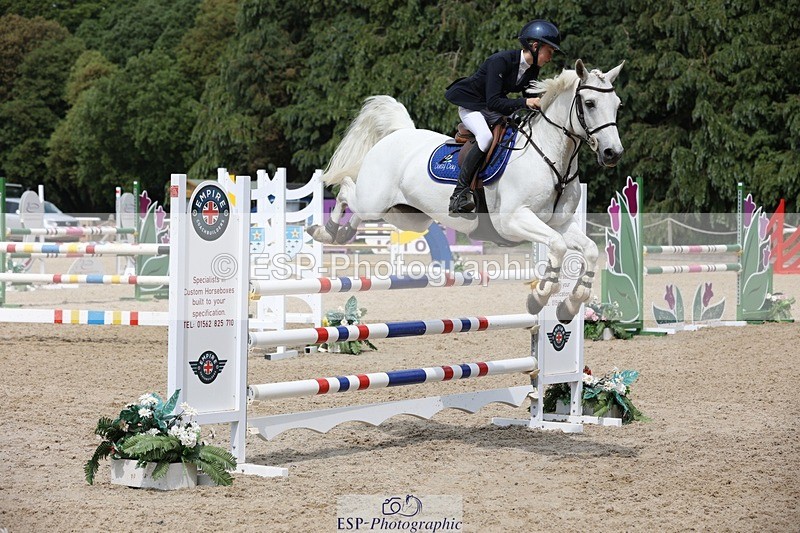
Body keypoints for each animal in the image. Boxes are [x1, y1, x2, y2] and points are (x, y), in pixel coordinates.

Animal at [308, 59, 625, 322]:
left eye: (617, 105)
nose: (613, 153)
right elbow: (557, 246)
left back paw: (342, 233)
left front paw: (570, 305)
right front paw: (540, 297)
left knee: (360, 210)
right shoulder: (514, 220)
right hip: (374, 200)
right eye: (590, 103)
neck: (551, 156)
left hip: (406, 215)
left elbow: (589, 251)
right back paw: (327, 231)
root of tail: (400, 132)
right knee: (347, 191)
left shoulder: (559, 223)